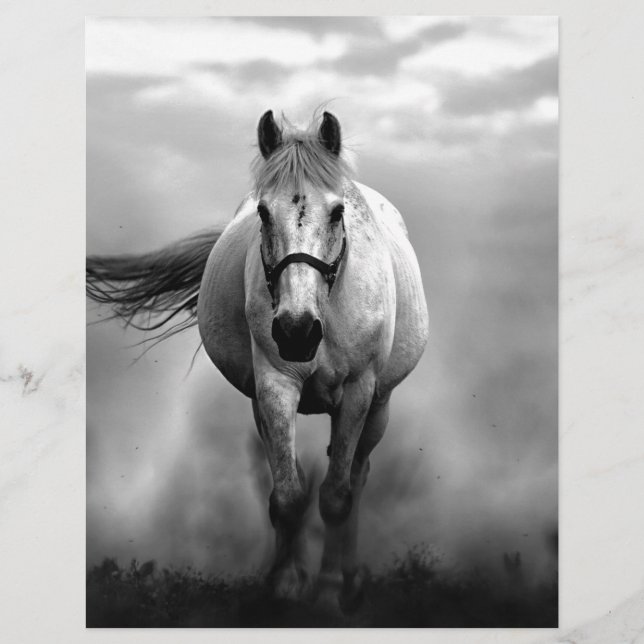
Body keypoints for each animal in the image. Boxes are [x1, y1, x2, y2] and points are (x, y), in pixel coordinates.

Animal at [87, 110, 429, 611]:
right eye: (264, 213)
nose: (296, 331)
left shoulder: (358, 391)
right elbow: (288, 495)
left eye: (338, 212)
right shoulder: (274, 386)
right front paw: (286, 586)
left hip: (379, 406)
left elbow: (336, 497)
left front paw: (329, 594)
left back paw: (349, 578)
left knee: (358, 477)